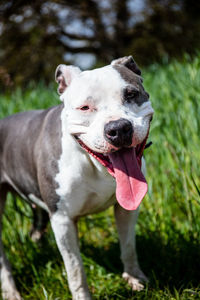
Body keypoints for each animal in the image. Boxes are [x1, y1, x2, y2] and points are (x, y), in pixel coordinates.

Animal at [0, 56, 154, 300]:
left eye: (131, 94)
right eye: (85, 107)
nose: (118, 128)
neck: (95, 164)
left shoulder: (127, 209)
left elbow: (129, 246)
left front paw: (135, 280)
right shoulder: (62, 219)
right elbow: (75, 268)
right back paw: (10, 291)